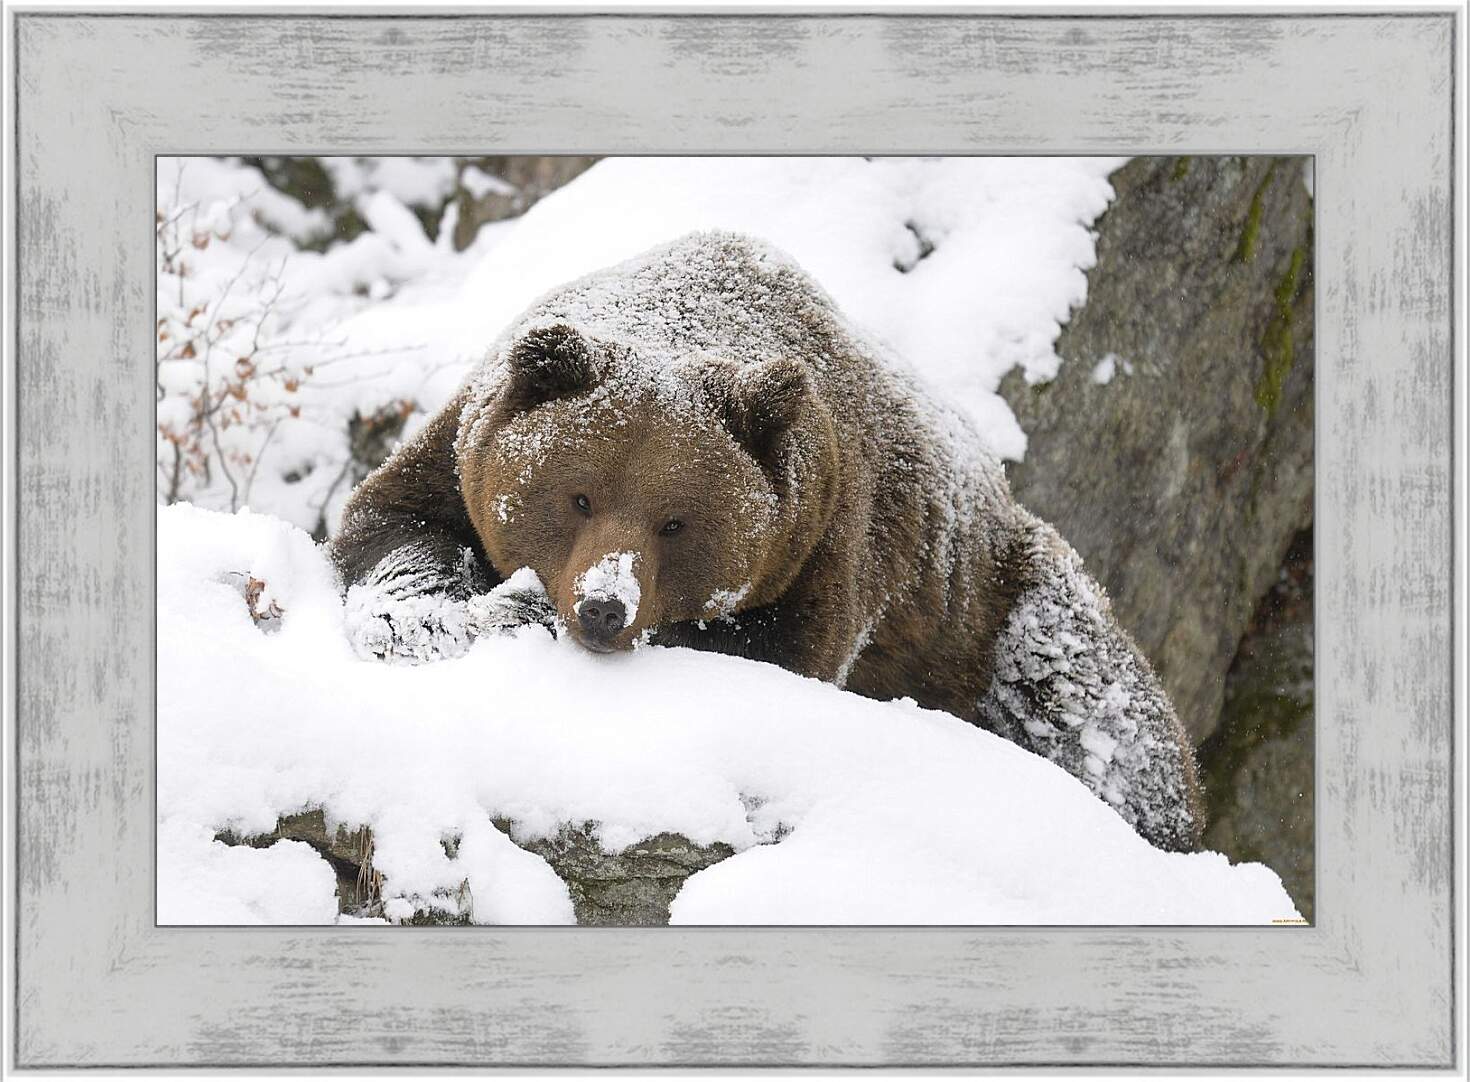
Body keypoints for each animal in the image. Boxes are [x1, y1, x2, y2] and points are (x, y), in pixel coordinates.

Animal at [336, 232, 1205, 846]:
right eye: (579, 495)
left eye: (676, 521)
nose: (604, 607)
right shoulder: (461, 449)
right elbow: (393, 526)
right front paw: (430, 614)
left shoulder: (827, 541)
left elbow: (771, 650)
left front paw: (516, 612)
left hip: (994, 610)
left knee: (1099, 715)